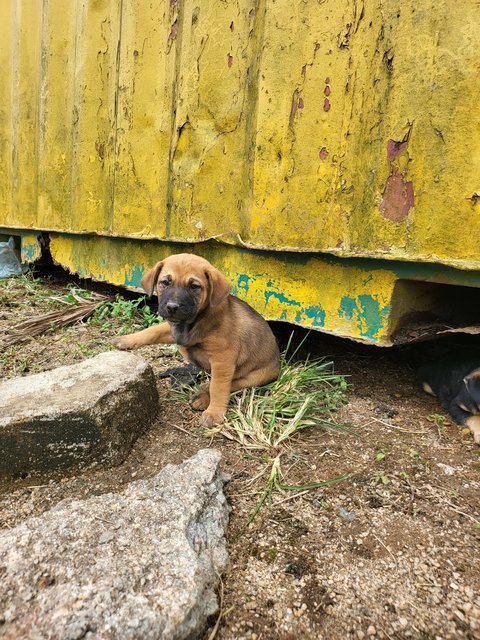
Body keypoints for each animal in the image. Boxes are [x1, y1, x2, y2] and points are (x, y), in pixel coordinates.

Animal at [113, 252, 282, 428]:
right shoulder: (174, 329)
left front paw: (214, 413)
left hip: (252, 378)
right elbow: (152, 331)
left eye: (194, 286)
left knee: (229, 384)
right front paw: (126, 340)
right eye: (165, 282)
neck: (194, 321)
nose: (172, 307)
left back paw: (202, 396)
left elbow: (218, 388)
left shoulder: (223, 359)